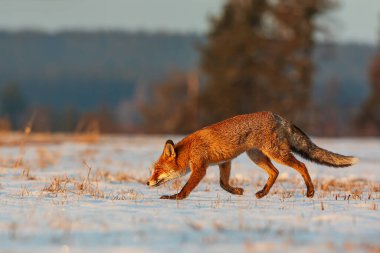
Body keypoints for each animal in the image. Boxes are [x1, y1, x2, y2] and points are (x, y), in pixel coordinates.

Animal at [146, 112, 356, 200]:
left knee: (302, 166)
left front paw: (175, 198)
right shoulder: (225, 162)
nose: (147, 183)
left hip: (276, 154)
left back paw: (310, 191)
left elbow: (186, 188)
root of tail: (279, 117)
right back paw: (262, 193)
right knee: (275, 172)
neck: (190, 149)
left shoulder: (200, 169)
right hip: (256, 156)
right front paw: (237, 191)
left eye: (157, 170)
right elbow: (223, 184)